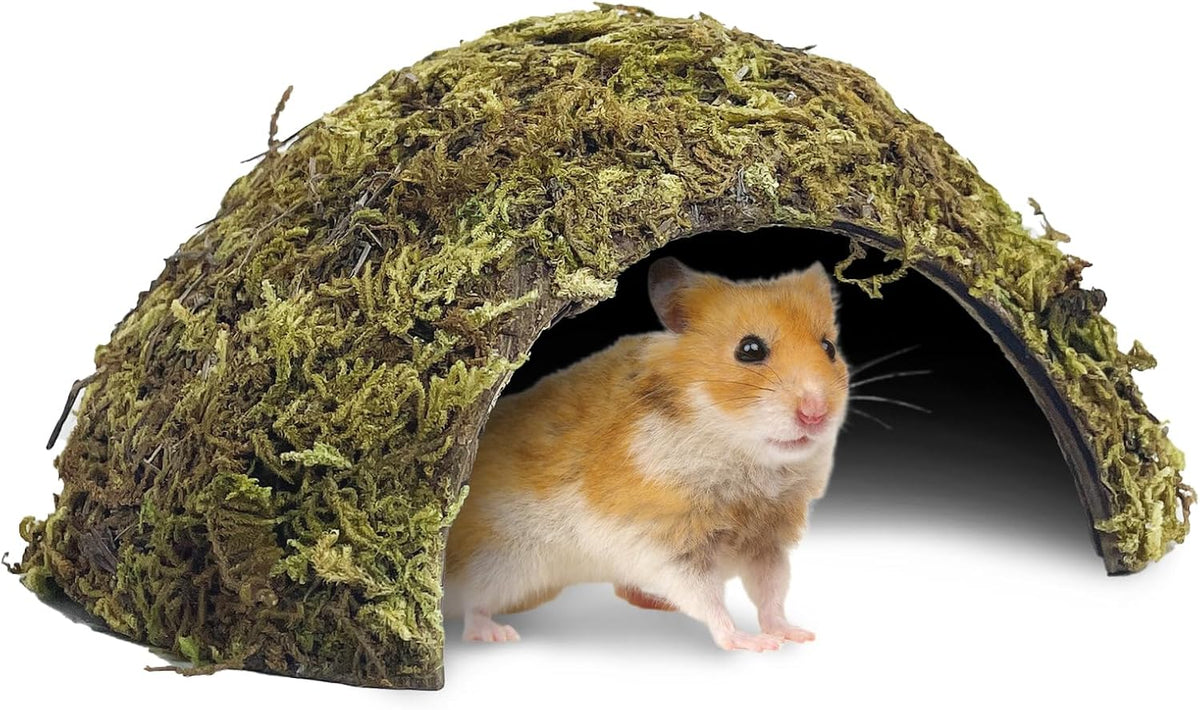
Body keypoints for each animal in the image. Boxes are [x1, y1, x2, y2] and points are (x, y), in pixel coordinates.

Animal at [444, 256, 849, 651]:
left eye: (829, 348)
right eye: (750, 349)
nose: (816, 413)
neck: (744, 459)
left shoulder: (767, 544)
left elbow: (772, 592)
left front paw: (794, 634)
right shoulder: (668, 546)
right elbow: (708, 598)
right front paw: (751, 642)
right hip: (497, 562)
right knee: (472, 607)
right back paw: (496, 633)